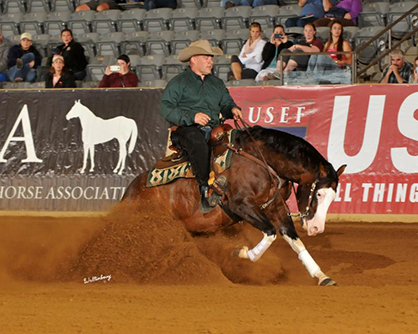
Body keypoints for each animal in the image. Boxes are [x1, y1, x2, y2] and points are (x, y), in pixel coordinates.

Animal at [122, 126, 344, 286]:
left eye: (334, 197)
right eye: (319, 193)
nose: (316, 228)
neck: (261, 161)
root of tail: (130, 191)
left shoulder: (276, 208)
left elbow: (296, 242)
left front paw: (321, 275)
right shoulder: (242, 206)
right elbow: (270, 233)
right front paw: (241, 253)